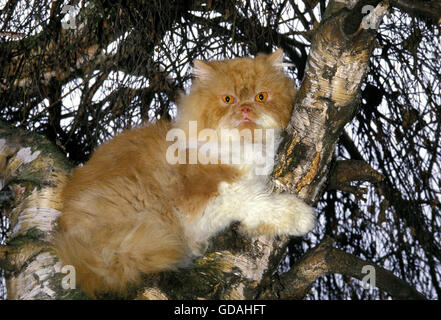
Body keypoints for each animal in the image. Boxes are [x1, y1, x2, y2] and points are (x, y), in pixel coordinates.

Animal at [51, 48, 314, 296]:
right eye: (228, 99)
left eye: (261, 96)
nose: (246, 109)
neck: (247, 149)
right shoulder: (200, 205)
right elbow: (253, 199)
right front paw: (301, 215)